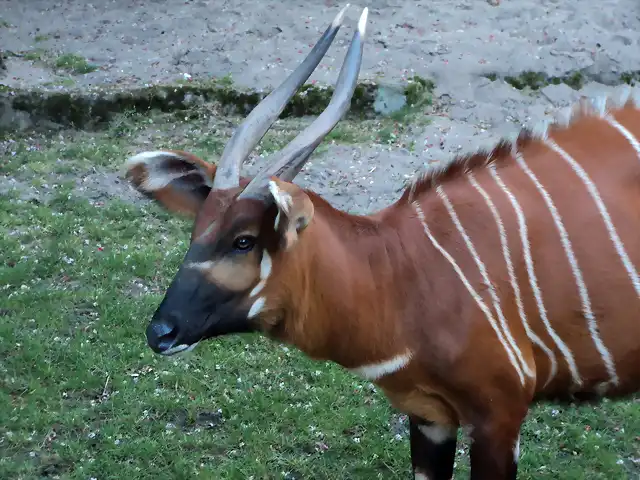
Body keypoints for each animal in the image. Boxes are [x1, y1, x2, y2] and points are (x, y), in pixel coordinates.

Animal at [121, 4, 640, 480]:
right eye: (198, 230)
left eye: (245, 241)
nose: (160, 332)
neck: (402, 275)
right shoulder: (429, 415)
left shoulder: (500, 414)